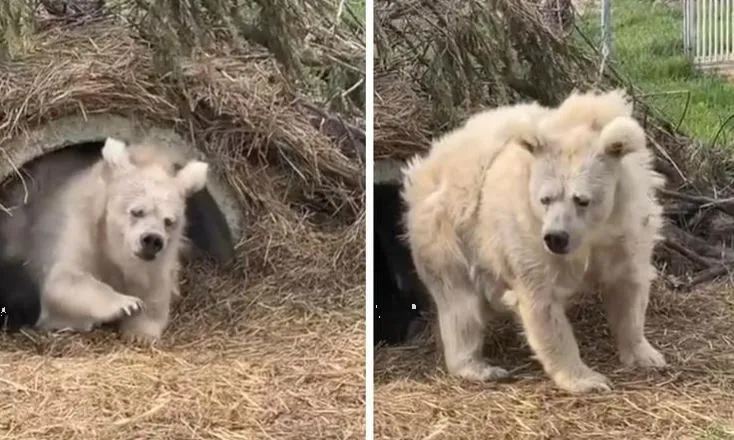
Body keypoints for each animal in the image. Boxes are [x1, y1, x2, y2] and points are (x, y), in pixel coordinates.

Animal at [402, 90, 668, 396]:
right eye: (545, 198)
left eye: (582, 199)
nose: (556, 237)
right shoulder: (526, 235)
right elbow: (542, 304)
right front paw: (588, 379)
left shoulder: (627, 229)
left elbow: (629, 288)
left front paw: (646, 355)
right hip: (448, 233)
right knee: (460, 305)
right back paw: (481, 367)